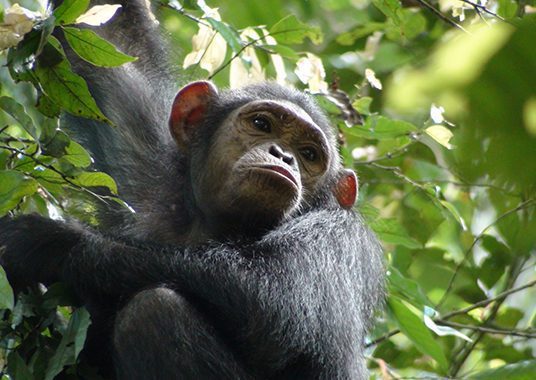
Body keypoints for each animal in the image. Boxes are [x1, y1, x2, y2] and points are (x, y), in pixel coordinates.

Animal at [1, 1, 386, 378]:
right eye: (262, 123)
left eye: (309, 154)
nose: (284, 155)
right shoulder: (150, 171)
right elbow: (110, 36)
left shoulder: (337, 238)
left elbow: (273, 300)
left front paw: (46, 242)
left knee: (154, 310)